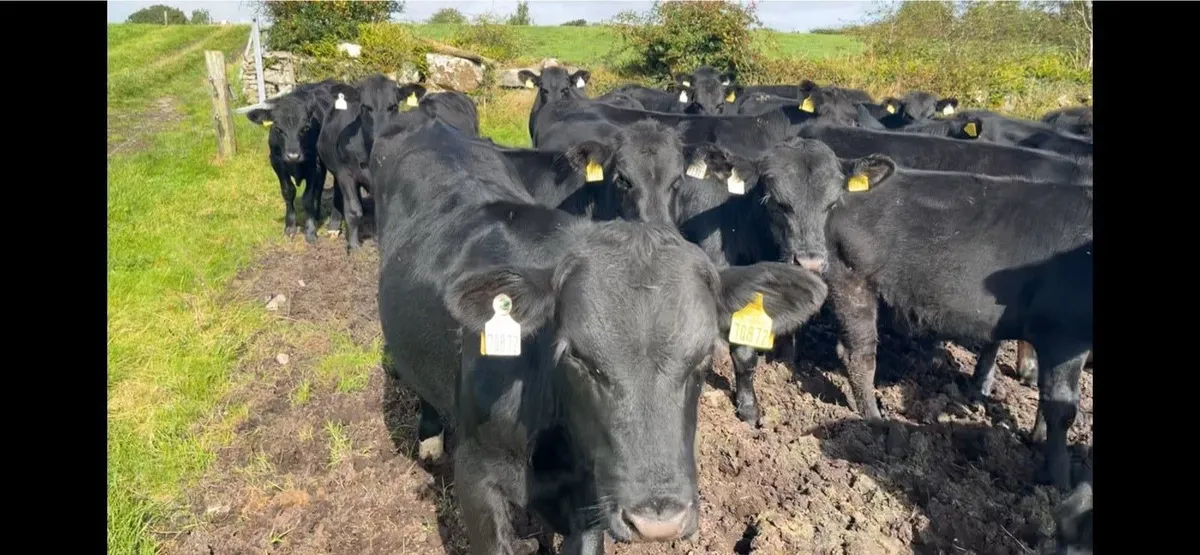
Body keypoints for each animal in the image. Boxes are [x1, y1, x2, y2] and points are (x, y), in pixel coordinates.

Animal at [244, 80, 342, 242]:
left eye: (305, 128)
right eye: (278, 128)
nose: (293, 155)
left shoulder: (313, 165)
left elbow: (307, 198)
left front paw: (310, 230)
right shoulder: (277, 163)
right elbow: (288, 192)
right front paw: (290, 227)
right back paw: (317, 213)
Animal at [821, 154, 1092, 490]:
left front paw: (1036, 440)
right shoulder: (1064, 333)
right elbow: (1062, 407)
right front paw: (1059, 481)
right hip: (850, 278)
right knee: (859, 355)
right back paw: (874, 419)